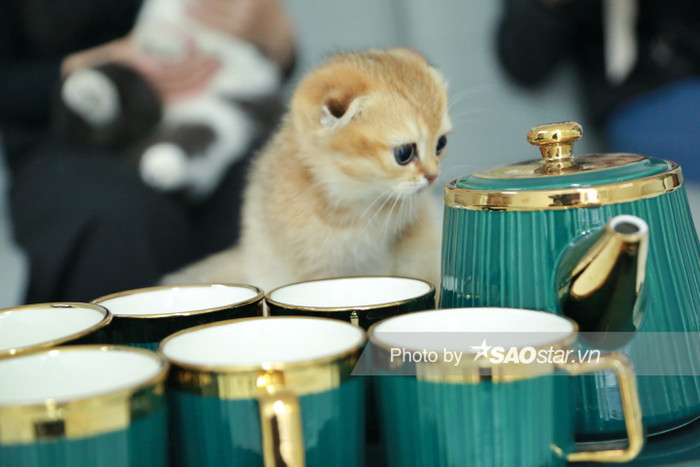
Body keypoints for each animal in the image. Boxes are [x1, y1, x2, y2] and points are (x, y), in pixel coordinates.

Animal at [56, 0, 282, 199]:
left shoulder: (249, 44)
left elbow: (231, 49)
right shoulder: (159, 12)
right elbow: (159, 24)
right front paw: (162, 42)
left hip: (215, 118)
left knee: (197, 141)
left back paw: (162, 165)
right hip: (142, 83)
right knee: (112, 87)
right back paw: (84, 87)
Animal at [162, 46, 452, 288]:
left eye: (441, 143)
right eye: (404, 153)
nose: (432, 176)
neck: (358, 206)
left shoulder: (416, 249)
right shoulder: (313, 270)